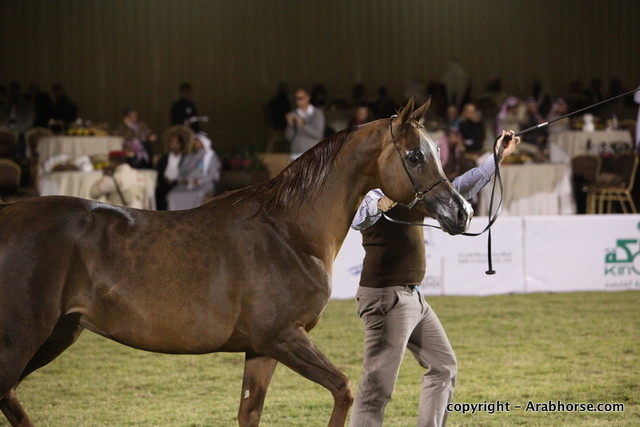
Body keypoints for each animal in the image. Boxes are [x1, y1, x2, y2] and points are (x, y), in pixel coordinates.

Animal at [0, 98, 472, 426]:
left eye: (436, 150)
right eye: (414, 156)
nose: (462, 211)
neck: (289, 232)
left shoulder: (261, 349)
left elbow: (251, 412)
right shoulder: (284, 337)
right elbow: (345, 389)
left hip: (58, 334)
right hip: (24, 338)